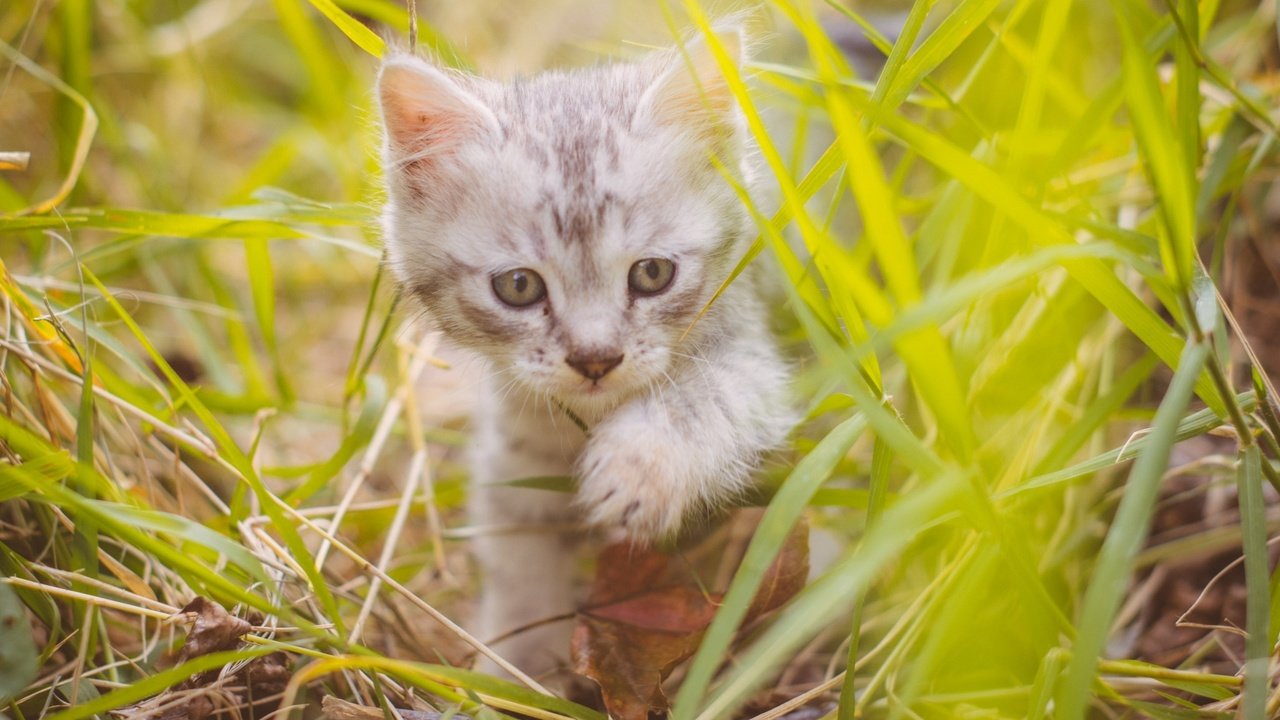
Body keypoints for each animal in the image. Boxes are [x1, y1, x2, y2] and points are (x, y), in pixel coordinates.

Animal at [376, 28, 788, 676]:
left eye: (652, 273)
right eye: (519, 286)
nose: (596, 358)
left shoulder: (754, 359)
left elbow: (705, 398)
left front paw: (640, 467)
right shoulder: (514, 450)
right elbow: (520, 559)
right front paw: (516, 670)